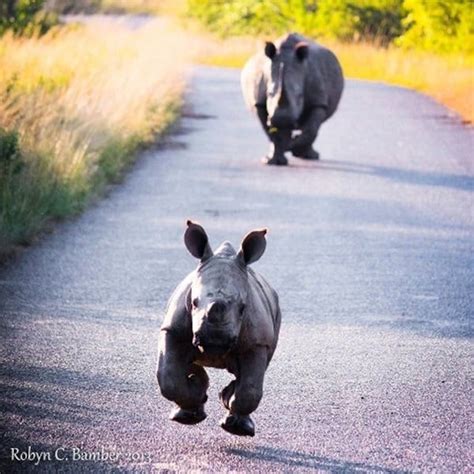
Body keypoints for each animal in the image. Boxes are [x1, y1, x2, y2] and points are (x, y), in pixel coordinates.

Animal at [157, 221, 280, 436]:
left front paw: (237, 428)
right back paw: (194, 394)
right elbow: (169, 378)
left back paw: (228, 399)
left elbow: (250, 389)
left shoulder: (258, 342)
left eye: (243, 308)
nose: (215, 340)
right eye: (194, 303)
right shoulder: (173, 329)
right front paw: (192, 404)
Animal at [243, 32, 342, 165]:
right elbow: (270, 132)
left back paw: (309, 156)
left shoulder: (318, 101)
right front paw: (273, 160)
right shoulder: (259, 102)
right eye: (269, 93)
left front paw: (292, 147)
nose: (282, 119)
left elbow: (311, 129)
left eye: (300, 96)